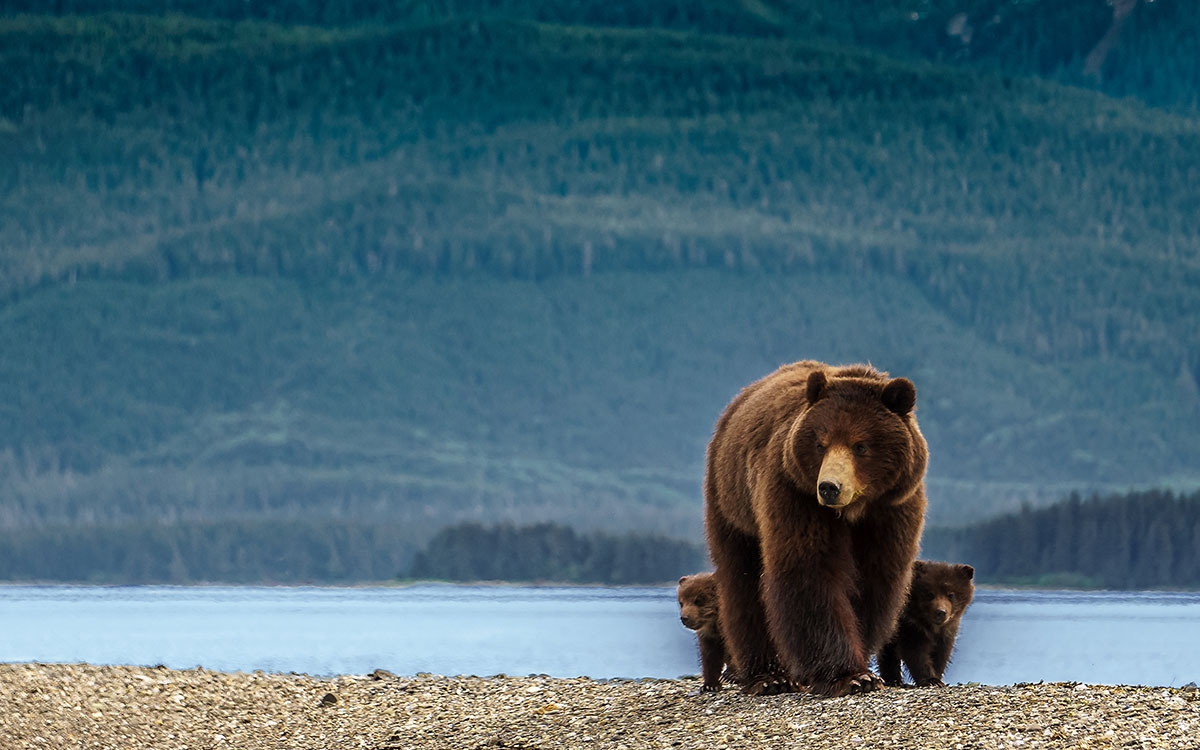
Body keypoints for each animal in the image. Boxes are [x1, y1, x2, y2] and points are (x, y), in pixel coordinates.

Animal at [700, 360, 926, 691]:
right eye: (821, 443)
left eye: (860, 446)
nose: (829, 487)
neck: (852, 510)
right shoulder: (795, 494)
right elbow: (810, 569)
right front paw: (850, 676)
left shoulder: (891, 510)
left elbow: (874, 578)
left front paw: (862, 664)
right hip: (732, 503)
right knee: (742, 580)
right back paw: (769, 676)